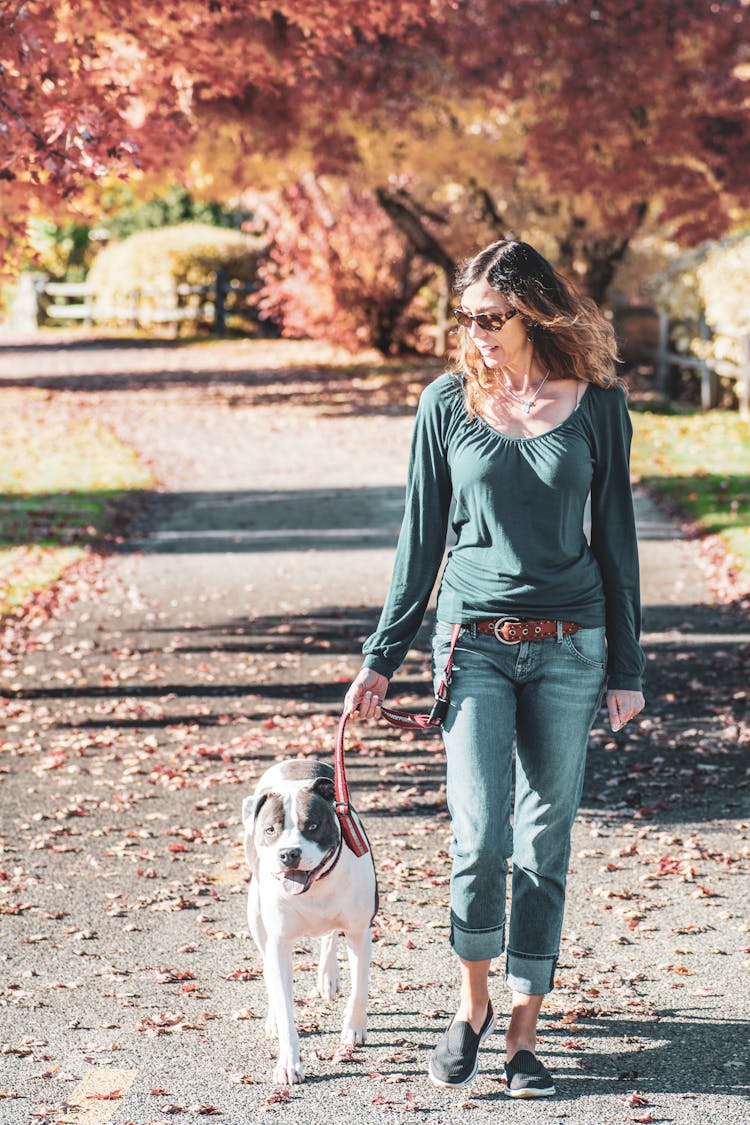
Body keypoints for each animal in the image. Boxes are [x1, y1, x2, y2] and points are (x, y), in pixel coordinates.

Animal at [244, 760, 377, 1084]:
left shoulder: (360, 932)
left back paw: (328, 978)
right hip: (255, 916)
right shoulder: (279, 944)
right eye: (270, 829)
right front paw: (288, 1063)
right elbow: (283, 1002)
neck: (316, 886)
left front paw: (354, 1028)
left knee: (330, 936)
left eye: (313, 826)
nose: (289, 853)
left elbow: (359, 987)